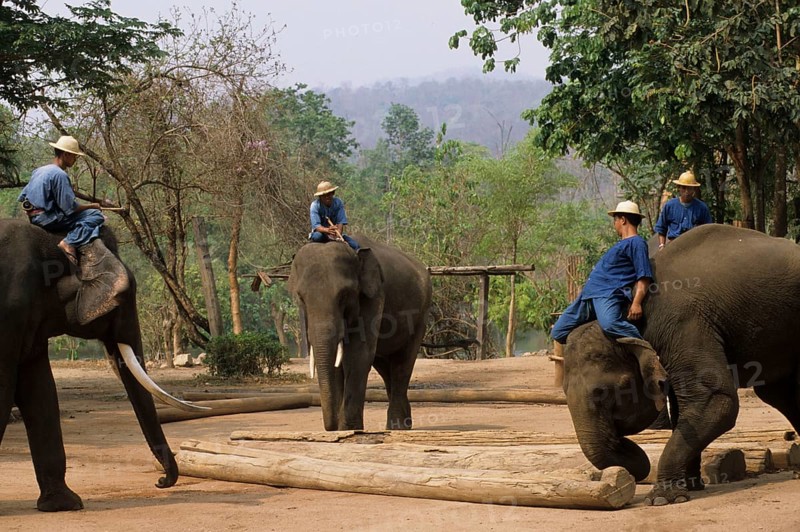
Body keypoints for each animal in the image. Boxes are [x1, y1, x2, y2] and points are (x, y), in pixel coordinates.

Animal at [0, 219, 202, 512]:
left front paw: (65, 504)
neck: (50, 240)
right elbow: (4, 393)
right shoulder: (9, 312)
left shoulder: (30, 322)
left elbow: (40, 392)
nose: (161, 481)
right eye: (124, 297)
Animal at [289, 234, 432, 431]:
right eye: (301, 297)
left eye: (344, 295)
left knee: (403, 362)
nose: (331, 426)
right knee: (384, 364)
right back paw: (402, 423)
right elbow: (339, 363)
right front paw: (342, 428)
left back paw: (397, 427)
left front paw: (350, 428)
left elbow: (358, 355)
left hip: (421, 315)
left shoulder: (374, 295)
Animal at [561, 224, 800, 505]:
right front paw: (691, 487)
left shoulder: (685, 325)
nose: (626, 453)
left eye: (606, 392)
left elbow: (715, 400)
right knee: (779, 394)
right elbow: (683, 409)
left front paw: (661, 499)